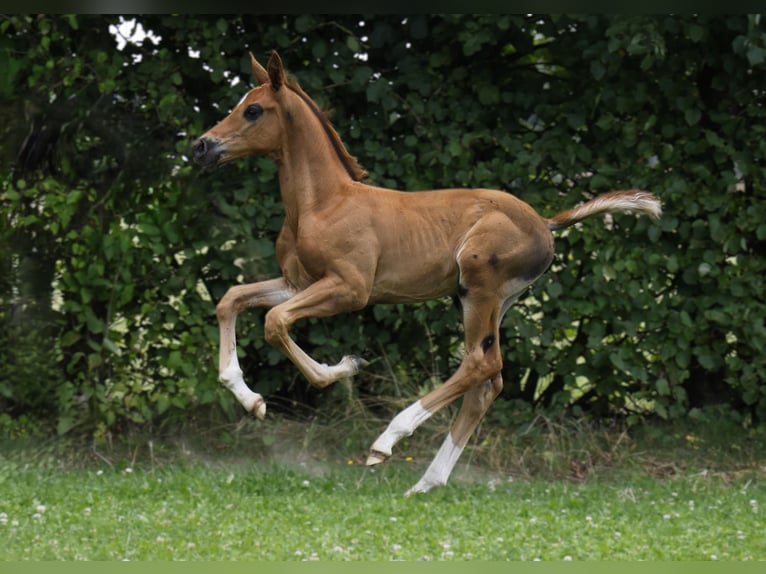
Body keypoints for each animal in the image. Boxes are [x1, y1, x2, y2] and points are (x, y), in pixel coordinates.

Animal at [195, 51, 664, 498]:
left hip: (478, 287)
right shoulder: (298, 283)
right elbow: (231, 299)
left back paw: (387, 441)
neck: (323, 203)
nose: (202, 146)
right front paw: (252, 401)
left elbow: (275, 322)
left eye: (253, 110)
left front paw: (345, 367)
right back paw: (426, 482)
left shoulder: (350, 289)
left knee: (480, 363)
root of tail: (545, 223)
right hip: (492, 301)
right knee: (488, 382)